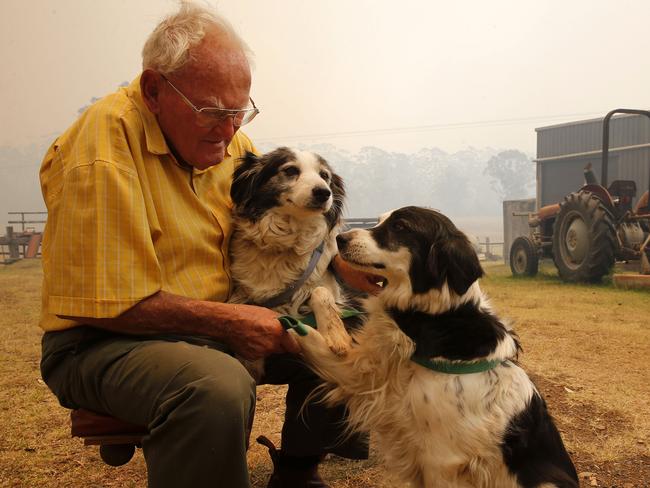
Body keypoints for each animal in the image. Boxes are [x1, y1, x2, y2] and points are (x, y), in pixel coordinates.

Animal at [296, 206, 576, 488]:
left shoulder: (441, 460)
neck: (437, 318)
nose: (339, 239)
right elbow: (315, 330)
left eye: (400, 227)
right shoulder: (367, 378)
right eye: (380, 220)